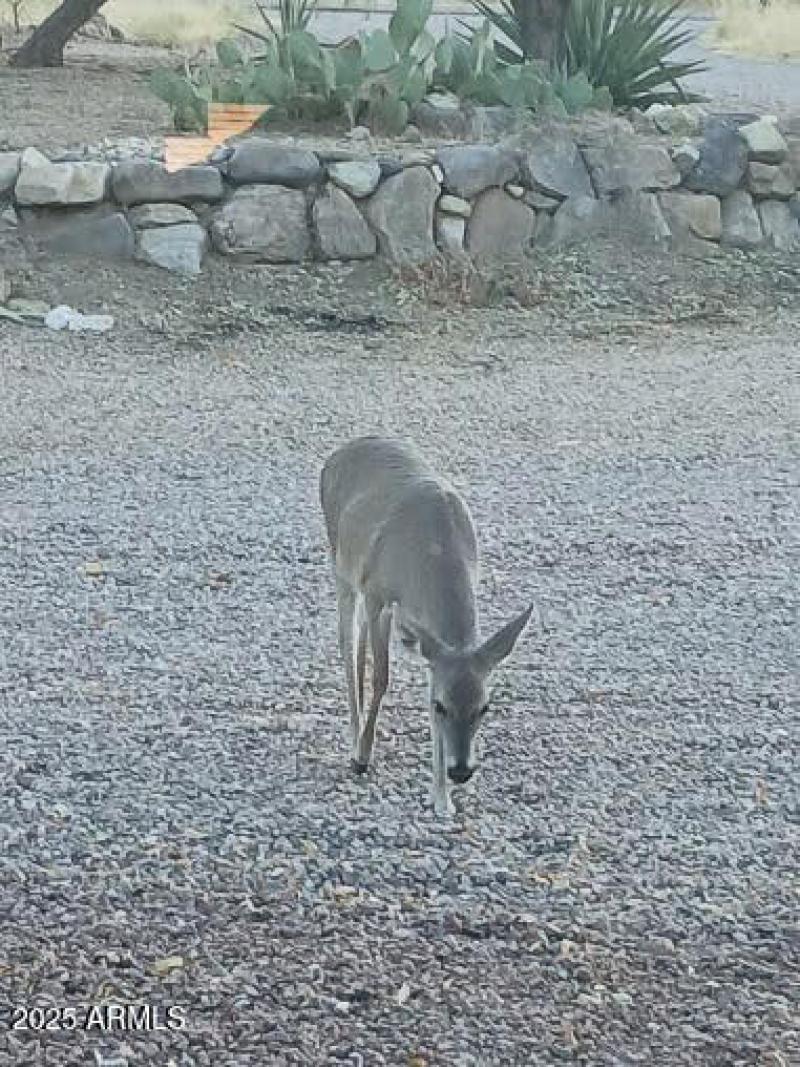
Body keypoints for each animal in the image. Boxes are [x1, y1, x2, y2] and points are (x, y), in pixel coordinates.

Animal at [320, 436, 532, 817]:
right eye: (441, 706)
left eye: (485, 707)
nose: (461, 770)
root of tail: (340, 451)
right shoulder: (377, 593)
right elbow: (381, 677)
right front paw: (362, 756)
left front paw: (441, 800)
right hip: (342, 567)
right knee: (348, 644)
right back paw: (355, 738)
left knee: (359, 644)